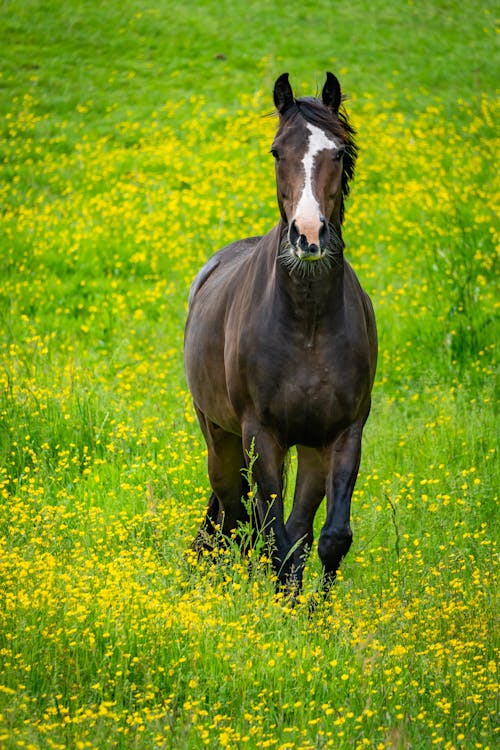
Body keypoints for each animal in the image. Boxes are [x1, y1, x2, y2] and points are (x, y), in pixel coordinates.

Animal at [186, 73, 376, 596]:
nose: (308, 236)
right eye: (276, 152)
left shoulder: (342, 434)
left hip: (307, 449)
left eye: (338, 152)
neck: (307, 324)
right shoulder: (261, 434)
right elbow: (277, 541)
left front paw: (313, 615)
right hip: (221, 439)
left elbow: (325, 538)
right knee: (234, 516)